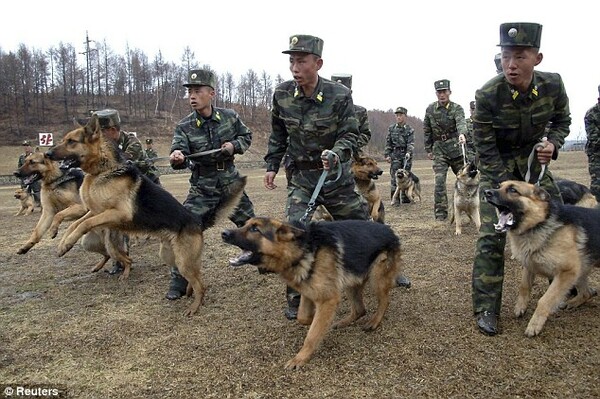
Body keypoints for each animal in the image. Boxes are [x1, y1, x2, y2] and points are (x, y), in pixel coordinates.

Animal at [45, 115, 245, 316]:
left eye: (71, 142)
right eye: (64, 139)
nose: (47, 154)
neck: (103, 170)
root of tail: (197, 220)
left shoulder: (116, 213)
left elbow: (84, 224)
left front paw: (66, 244)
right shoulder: (96, 212)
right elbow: (74, 224)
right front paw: (62, 242)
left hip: (182, 261)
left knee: (201, 285)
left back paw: (194, 307)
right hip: (171, 256)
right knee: (195, 278)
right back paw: (188, 293)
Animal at [221, 217, 404, 370]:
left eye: (255, 229)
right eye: (244, 224)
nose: (224, 233)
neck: (303, 250)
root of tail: (389, 229)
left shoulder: (328, 299)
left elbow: (312, 335)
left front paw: (300, 358)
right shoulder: (308, 292)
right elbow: (303, 317)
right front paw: (313, 321)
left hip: (376, 278)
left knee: (384, 301)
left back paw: (374, 322)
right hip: (351, 283)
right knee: (360, 309)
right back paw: (344, 322)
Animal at [486, 181, 596, 338]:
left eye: (513, 190)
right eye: (498, 186)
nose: (486, 192)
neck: (539, 222)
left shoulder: (567, 272)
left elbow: (544, 300)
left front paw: (534, 325)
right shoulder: (529, 265)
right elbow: (524, 286)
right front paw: (520, 307)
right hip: (581, 269)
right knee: (587, 293)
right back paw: (572, 303)